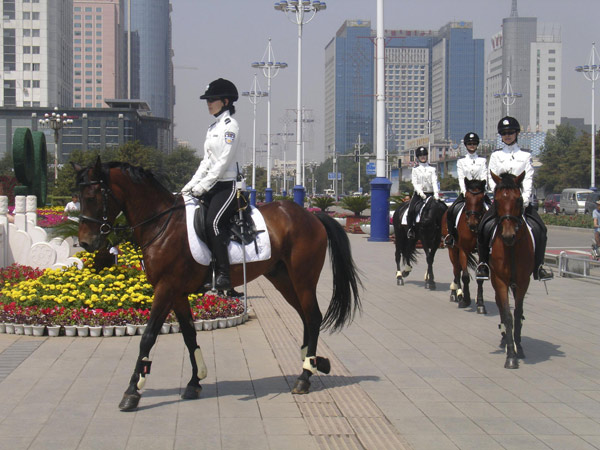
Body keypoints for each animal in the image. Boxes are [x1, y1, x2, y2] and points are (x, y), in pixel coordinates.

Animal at [74, 158, 360, 412]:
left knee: (313, 316)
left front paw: (132, 391)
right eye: (78, 197)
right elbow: (189, 336)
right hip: (282, 279)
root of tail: (311, 216)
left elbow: (148, 337)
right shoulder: (177, 293)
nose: (86, 242)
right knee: (305, 317)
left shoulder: (165, 289)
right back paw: (312, 363)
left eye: (94, 196)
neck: (160, 223)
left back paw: (305, 376)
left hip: (303, 278)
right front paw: (194, 381)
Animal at [440, 179, 488, 312]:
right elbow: (465, 276)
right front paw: (465, 300)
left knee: (458, 268)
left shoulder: (483, 252)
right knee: (456, 270)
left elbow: (481, 276)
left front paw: (480, 303)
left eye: (481, 198)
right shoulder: (463, 250)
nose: (472, 223)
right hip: (452, 249)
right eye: (466, 197)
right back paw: (457, 294)